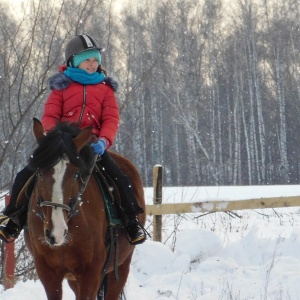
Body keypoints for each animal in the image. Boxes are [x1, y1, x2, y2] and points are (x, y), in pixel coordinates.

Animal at [23, 118, 145, 298]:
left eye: (75, 174)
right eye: (39, 173)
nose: (56, 232)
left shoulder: (90, 273)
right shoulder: (47, 273)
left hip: (121, 266)